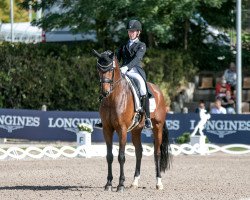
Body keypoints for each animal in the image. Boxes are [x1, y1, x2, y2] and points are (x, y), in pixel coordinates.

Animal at [93, 49, 171, 191]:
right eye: (99, 69)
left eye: (111, 69)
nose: (104, 92)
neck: (113, 97)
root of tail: (158, 90)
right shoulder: (107, 129)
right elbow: (109, 156)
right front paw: (108, 184)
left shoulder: (122, 129)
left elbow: (121, 156)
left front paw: (120, 184)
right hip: (136, 130)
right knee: (139, 152)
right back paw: (135, 182)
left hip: (157, 126)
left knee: (156, 153)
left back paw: (159, 183)